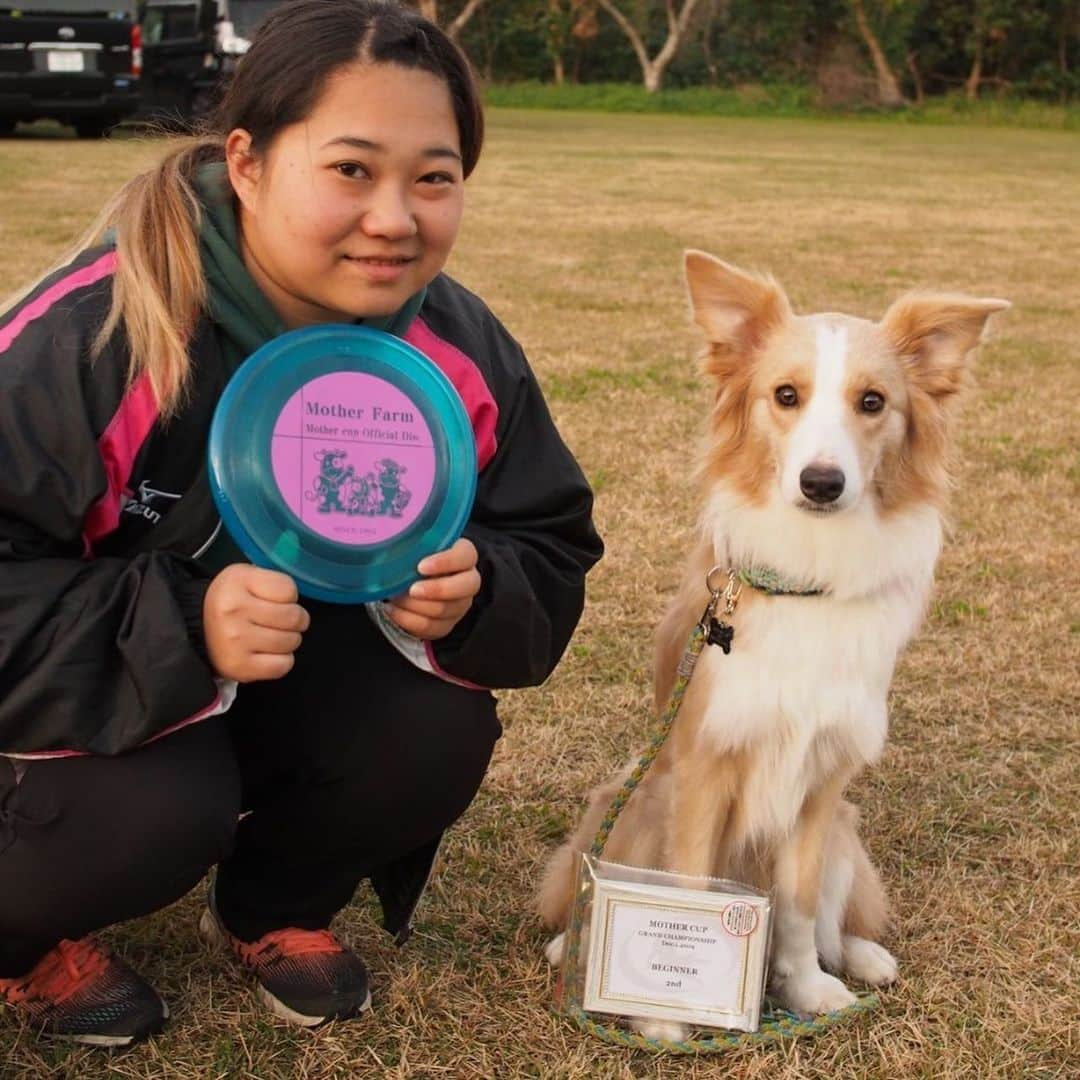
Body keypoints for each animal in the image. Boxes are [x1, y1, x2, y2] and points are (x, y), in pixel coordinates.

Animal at [535, 250, 1006, 1036]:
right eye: (786, 395)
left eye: (873, 402)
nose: (822, 482)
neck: (807, 575)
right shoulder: (704, 770)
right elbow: (689, 886)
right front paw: (668, 1019)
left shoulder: (821, 781)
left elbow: (799, 905)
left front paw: (807, 988)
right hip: (632, 801)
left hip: (846, 830)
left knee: (836, 916)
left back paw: (861, 956)